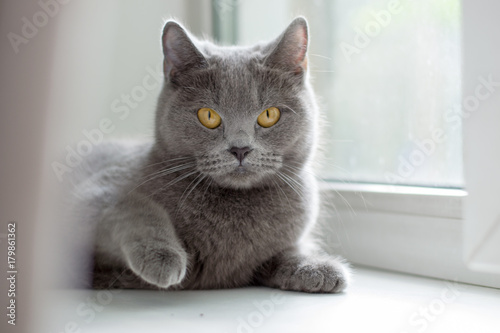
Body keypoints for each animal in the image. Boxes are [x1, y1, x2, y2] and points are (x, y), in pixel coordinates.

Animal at [72, 16, 350, 292]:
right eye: (208, 116)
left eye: (269, 115)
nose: (240, 148)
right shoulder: (94, 193)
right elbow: (133, 208)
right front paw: (164, 258)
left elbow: (285, 254)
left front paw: (316, 268)